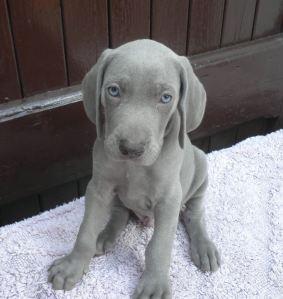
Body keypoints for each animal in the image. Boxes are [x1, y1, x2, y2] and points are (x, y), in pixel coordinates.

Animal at [47, 39, 222, 298]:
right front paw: (73, 265)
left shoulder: (169, 199)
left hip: (200, 166)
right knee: (120, 213)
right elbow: (86, 230)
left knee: (193, 214)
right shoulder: (98, 187)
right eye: (113, 91)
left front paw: (154, 284)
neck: (134, 167)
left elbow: (159, 245)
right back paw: (105, 235)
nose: (131, 148)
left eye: (166, 97)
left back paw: (204, 247)